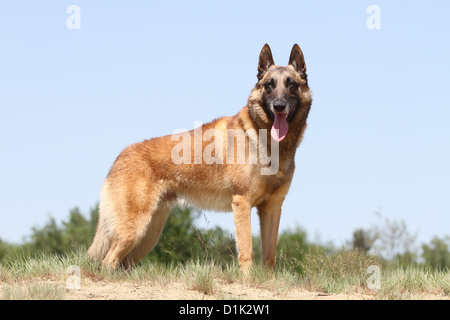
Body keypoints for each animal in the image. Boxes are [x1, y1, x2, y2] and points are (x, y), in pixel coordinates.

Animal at [88, 43, 312, 272]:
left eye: (291, 84)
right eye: (269, 85)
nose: (279, 106)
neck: (264, 139)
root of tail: (120, 156)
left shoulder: (272, 207)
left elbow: (269, 256)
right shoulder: (242, 202)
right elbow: (247, 251)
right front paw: (248, 279)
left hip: (148, 236)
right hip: (134, 230)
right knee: (107, 262)